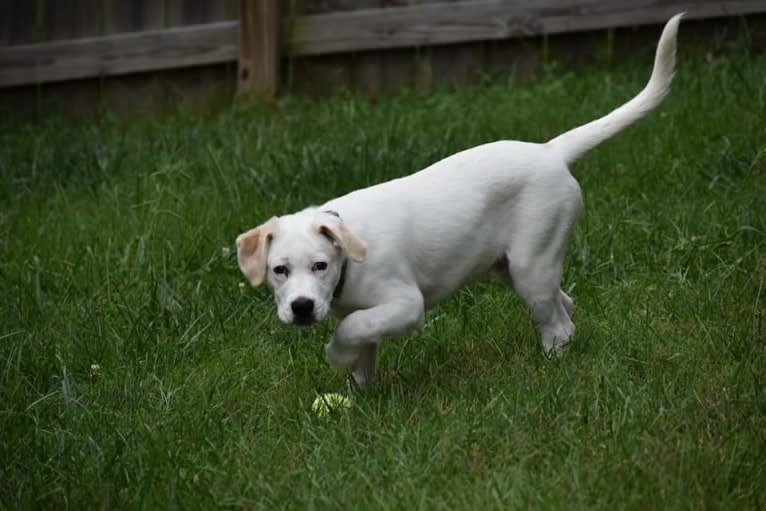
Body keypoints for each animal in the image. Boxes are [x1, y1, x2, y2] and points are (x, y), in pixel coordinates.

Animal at [238, 14, 684, 386]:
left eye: (320, 265)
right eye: (279, 270)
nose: (301, 307)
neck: (349, 256)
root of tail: (550, 151)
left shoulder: (406, 305)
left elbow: (352, 330)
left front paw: (335, 355)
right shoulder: (365, 312)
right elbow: (363, 342)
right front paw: (358, 400)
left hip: (532, 262)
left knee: (558, 323)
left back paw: (552, 367)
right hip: (510, 266)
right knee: (565, 304)